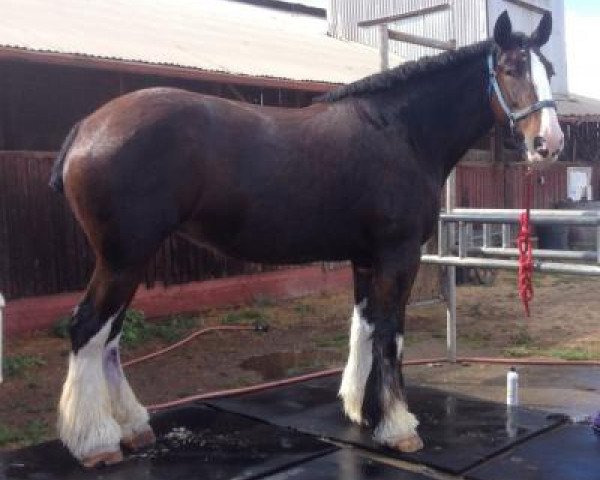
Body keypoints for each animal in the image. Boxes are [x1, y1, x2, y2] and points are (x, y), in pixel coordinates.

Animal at [48, 11, 564, 466]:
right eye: (511, 69)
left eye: (550, 70)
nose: (550, 144)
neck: (402, 132)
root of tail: (87, 128)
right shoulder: (397, 255)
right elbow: (390, 334)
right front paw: (399, 428)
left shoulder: (365, 258)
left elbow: (365, 327)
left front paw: (361, 411)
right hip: (123, 257)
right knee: (88, 328)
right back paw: (96, 442)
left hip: (130, 259)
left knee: (110, 334)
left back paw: (132, 426)